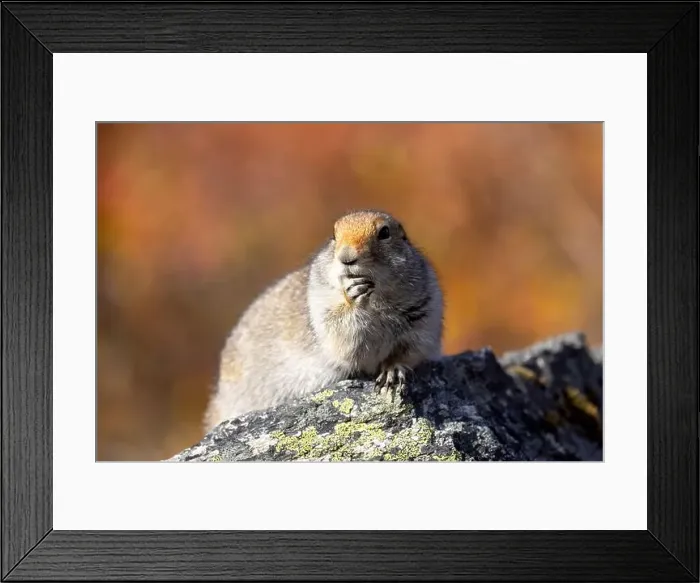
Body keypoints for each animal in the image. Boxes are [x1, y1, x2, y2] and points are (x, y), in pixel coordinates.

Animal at [203, 209, 444, 432]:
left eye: (384, 233)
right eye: (334, 235)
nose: (346, 258)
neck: (377, 300)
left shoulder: (424, 313)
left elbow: (411, 349)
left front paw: (392, 372)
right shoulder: (322, 309)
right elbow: (345, 339)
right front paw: (352, 297)